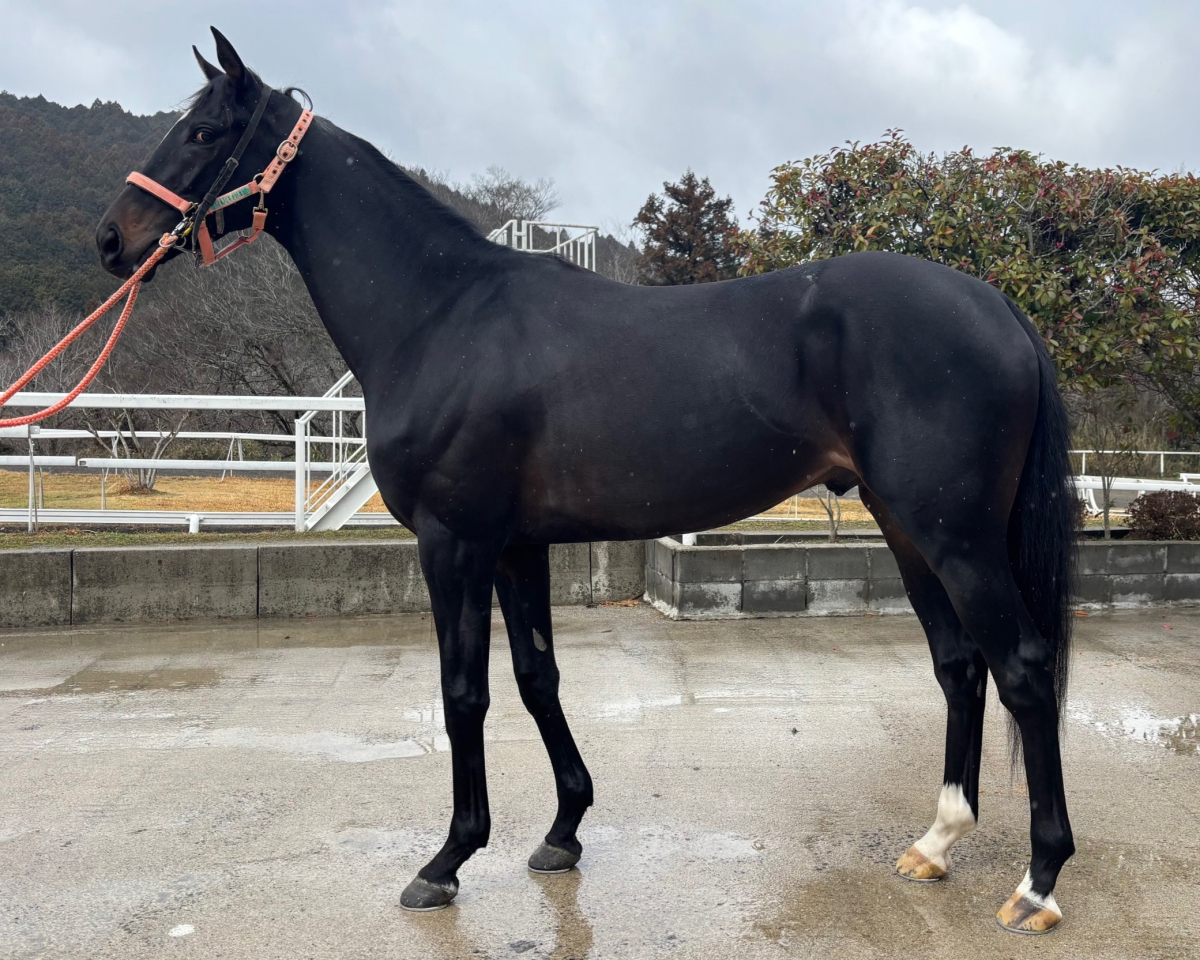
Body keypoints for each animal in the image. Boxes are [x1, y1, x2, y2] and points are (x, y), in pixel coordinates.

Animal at [97, 29, 1077, 933]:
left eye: (204, 130)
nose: (114, 239)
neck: (441, 313)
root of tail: (998, 304)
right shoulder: (515, 547)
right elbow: (539, 679)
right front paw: (562, 830)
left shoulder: (453, 543)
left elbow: (464, 693)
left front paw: (447, 861)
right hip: (907, 526)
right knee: (960, 667)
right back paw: (937, 842)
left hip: (956, 536)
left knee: (1023, 669)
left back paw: (1037, 883)